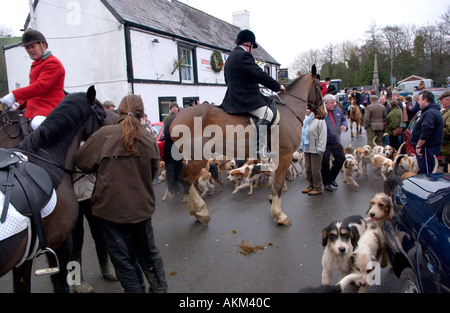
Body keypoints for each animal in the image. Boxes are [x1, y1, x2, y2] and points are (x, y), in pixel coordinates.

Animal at [164, 65, 324, 224]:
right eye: (321, 87)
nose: (322, 113)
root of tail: (177, 116)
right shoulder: (285, 155)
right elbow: (278, 184)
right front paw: (279, 215)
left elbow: (273, 181)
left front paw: (272, 201)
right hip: (198, 158)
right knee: (186, 180)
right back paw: (201, 212)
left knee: (184, 179)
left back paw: (198, 211)